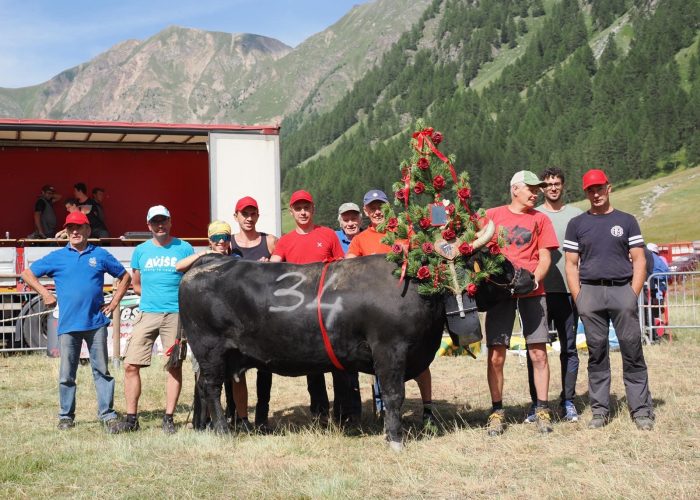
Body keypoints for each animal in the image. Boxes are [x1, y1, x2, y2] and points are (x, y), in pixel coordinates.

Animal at [178, 250, 532, 450]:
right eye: (497, 263)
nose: (528, 275)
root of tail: (207, 262)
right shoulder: (390, 349)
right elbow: (393, 395)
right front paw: (395, 439)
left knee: (203, 389)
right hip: (210, 350)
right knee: (210, 388)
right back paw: (223, 431)